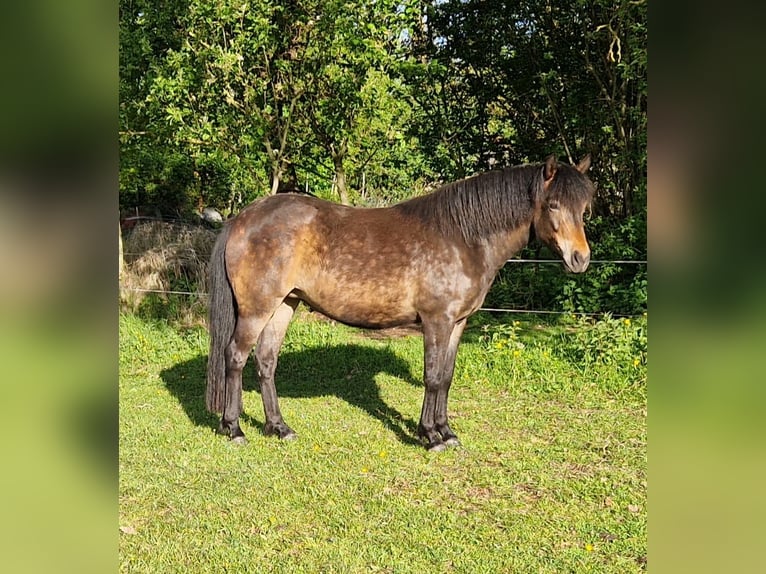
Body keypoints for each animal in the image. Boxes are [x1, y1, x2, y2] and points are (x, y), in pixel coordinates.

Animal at [206, 154, 594, 451]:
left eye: (584, 209)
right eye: (553, 205)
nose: (580, 259)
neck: (462, 237)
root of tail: (242, 219)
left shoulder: (458, 323)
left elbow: (447, 377)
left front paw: (447, 431)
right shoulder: (437, 321)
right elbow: (433, 377)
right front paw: (430, 436)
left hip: (285, 305)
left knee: (266, 362)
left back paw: (279, 427)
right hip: (256, 310)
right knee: (235, 357)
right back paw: (234, 428)